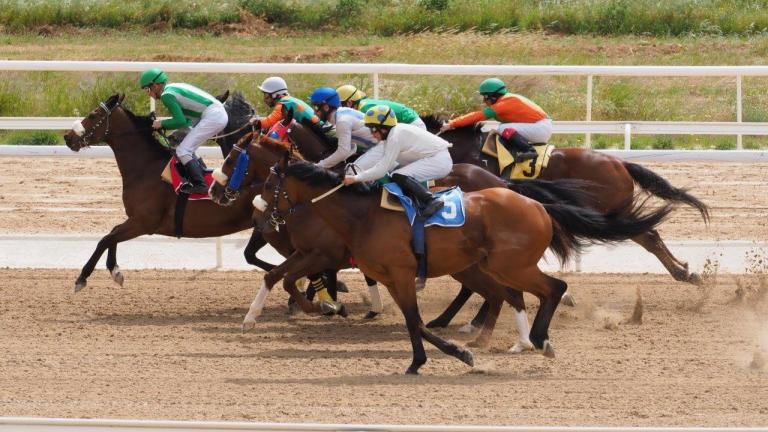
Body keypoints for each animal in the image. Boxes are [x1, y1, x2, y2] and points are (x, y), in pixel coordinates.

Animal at [62, 93, 272, 290]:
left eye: (93, 115)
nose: (68, 137)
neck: (145, 168)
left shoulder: (144, 223)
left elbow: (105, 239)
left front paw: (82, 278)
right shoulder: (136, 220)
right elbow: (112, 234)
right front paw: (115, 271)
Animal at [260, 156, 668, 374]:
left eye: (266, 185)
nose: (264, 216)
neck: (362, 215)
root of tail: (537, 204)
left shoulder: (402, 274)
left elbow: (415, 320)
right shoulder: (392, 278)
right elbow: (414, 322)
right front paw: (435, 358)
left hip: (511, 265)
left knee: (552, 288)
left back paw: (538, 339)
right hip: (494, 265)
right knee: (522, 293)